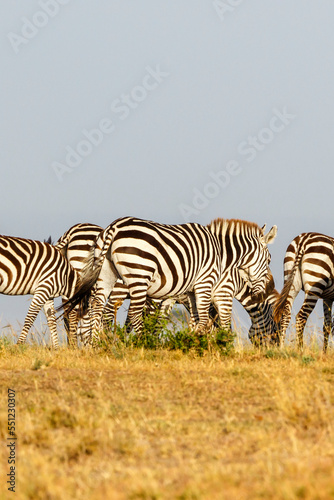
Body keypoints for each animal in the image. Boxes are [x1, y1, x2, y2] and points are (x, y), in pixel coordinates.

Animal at [62, 215, 276, 344]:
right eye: (269, 260)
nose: (261, 293)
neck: (223, 256)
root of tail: (114, 227)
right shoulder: (212, 288)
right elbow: (216, 321)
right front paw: (217, 346)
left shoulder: (188, 293)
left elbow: (197, 320)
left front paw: (195, 343)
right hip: (137, 276)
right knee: (129, 314)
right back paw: (142, 344)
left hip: (105, 274)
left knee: (95, 310)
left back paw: (96, 344)